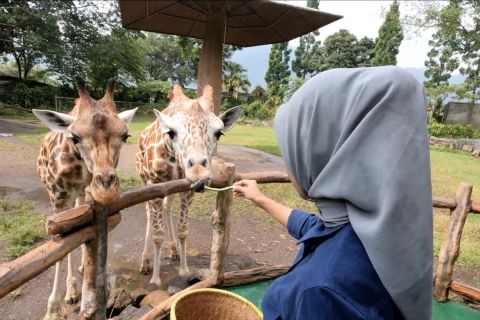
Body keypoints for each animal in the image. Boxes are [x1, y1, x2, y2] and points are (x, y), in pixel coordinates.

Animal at [32, 77, 138, 320]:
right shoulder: (58, 199)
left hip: (80, 196)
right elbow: (60, 247)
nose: (107, 190)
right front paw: (52, 310)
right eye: (75, 136)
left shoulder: (88, 194)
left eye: (125, 136)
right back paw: (71, 291)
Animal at [136, 84, 242, 286]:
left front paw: (184, 270)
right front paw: (155, 278)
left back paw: (173, 251)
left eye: (218, 133)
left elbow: (183, 230)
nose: (198, 173)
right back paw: (145, 262)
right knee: (148, 213)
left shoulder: (186, 189)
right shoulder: (154, 184)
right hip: (144, 180)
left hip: (170, 187)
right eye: (171, 132)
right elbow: (157, 234)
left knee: (167, 207)